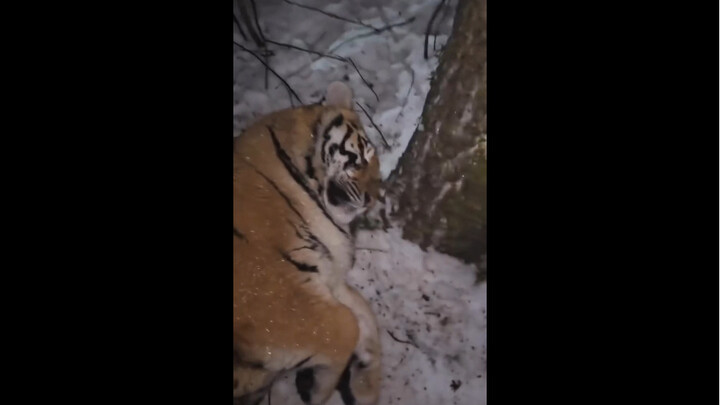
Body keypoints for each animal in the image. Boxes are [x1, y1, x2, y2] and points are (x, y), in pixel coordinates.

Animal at [233, 81, 383, 405]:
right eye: (362, 157)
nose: (373, 200)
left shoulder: (325, 276)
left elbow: (364, 312)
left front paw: (366, 384)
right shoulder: (271, 291)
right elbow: (346, 325)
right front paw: (317, 388)